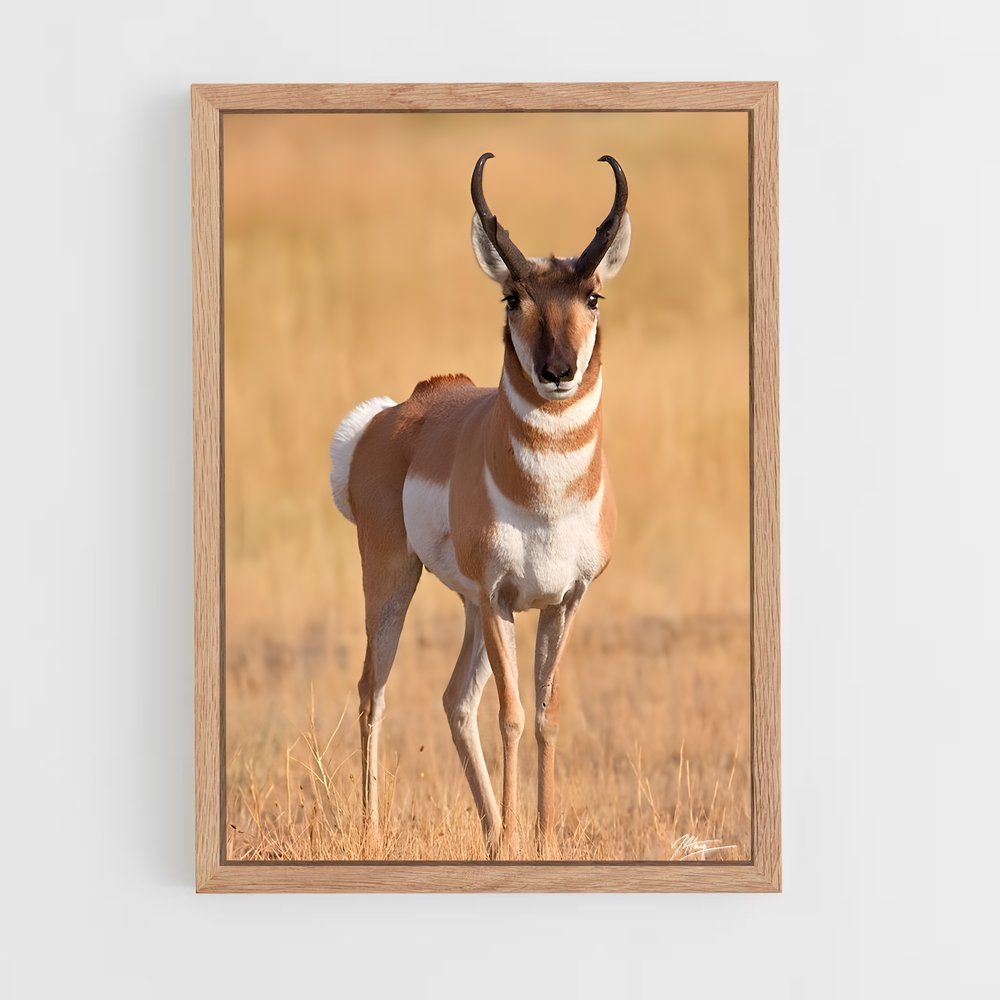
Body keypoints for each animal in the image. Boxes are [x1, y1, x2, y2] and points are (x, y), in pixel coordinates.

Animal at [329, 152, 631, 858]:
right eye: (513, 296)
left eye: (593, 296)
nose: (558, 371)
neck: (546, 498)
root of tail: (392, 415)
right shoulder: (501, 599)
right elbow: (513, 716)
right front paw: (522, 837)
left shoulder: (560, 601)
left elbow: (545, 715)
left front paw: (541, 840)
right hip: (394, 580)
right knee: (373, 691)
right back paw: (375, 833)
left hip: (467, 606)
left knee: (454, 700)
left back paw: (491, 832)